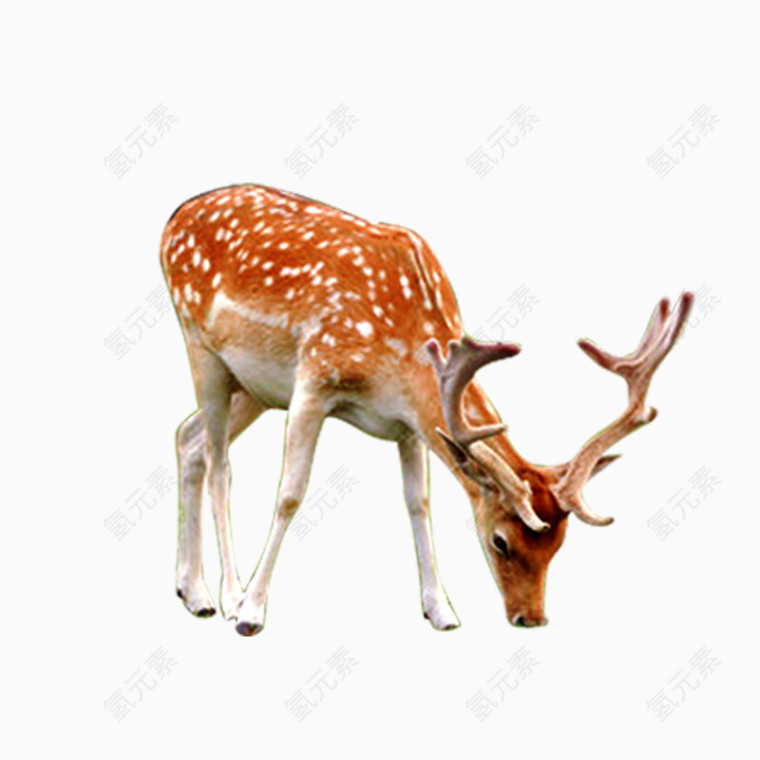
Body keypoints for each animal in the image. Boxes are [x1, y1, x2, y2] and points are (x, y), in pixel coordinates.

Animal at [160, 183, 693, 637]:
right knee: (219, 464)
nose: (532, 619)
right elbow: (290, 494)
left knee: (188, 437)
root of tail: (173, 220)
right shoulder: (314, 380)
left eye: (559, 544)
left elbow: (419, 503)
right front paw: (253, 611)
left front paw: (441, 610)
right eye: (501, 541)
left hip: (255, 388)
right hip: (201, 347)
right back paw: (228, 598)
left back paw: (192, 591)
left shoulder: (408, 425)